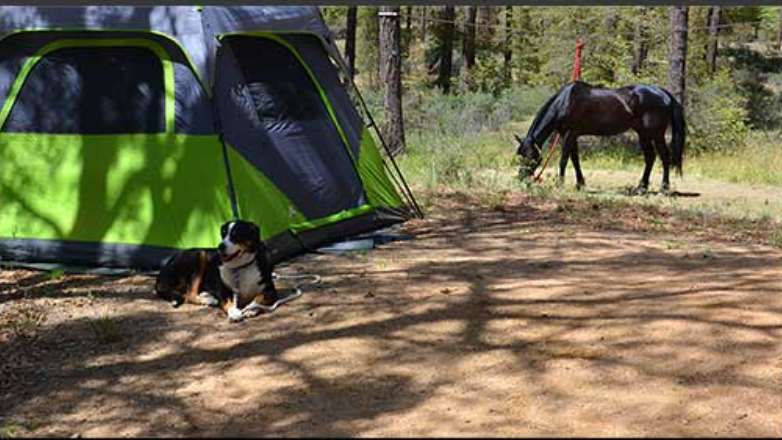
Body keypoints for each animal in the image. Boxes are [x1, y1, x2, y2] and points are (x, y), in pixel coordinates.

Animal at [514, 81, 686, 195]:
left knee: (664, 157)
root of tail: (663, 93)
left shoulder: (569, 134)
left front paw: (560, 185)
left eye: (531, 155)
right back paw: (641, 189)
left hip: (656, 134)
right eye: (519, 155)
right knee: (650, 158)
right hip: (643, 135)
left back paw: (663, 189)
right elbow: (575, 159)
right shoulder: (571, 135)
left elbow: (564, 160)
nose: (521, 178)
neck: (564, 101)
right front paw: (580, 184)